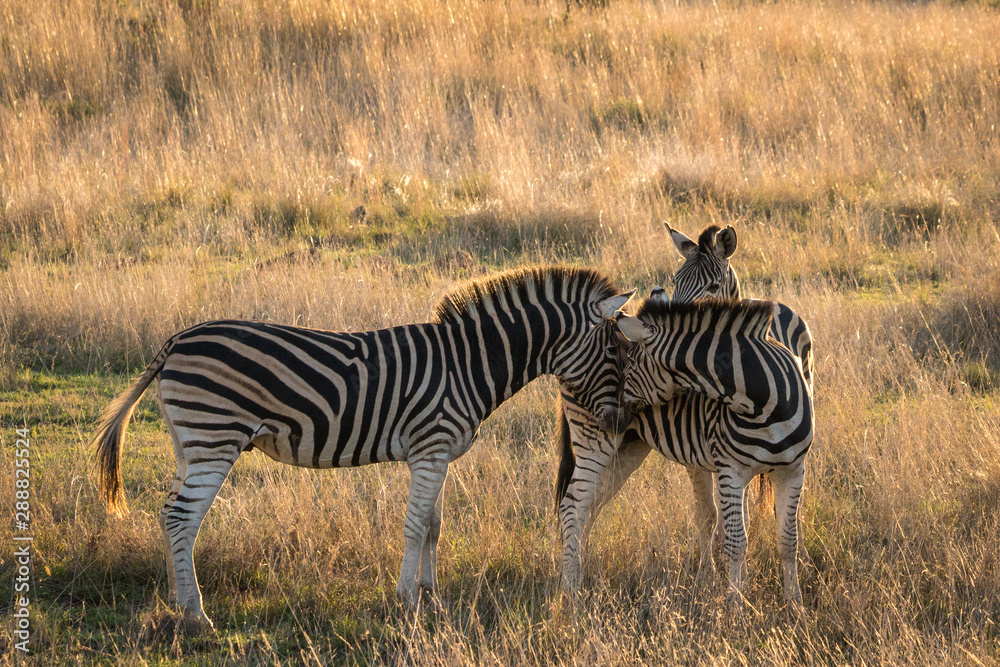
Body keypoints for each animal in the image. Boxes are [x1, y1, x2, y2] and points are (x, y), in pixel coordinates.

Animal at [90, 266, 635, 630]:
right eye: (615, 351)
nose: (619, 422)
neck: (469, 364)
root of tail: (178, 340)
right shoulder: (430, 449)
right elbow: (415, 526)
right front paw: (406, 601)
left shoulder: (437, 455)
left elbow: (434, 526)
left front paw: (433, 600)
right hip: (213, 438)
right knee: (184, 518)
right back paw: (196, 613)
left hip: (189, 444)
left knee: (168, 515)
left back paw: (175, 598)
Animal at [615, 297, 814, 606]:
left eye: (632, 363)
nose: (619, 413)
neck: (765, 404)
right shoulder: (731, 471)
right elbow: (736, 543)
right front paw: (735, 605)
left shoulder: (793, 471)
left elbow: (787, 541)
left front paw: (795, 605)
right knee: (715, 518)